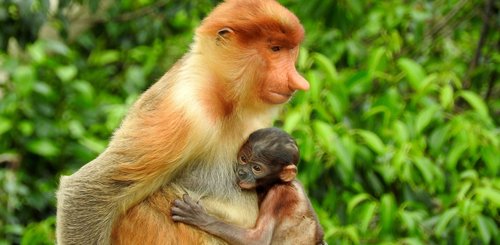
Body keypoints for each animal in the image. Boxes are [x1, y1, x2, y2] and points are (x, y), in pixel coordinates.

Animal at [172, 128, 326, 245]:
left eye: (256, 168)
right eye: (243, 159)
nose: (241, 172)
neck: (278, 182)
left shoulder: (279, 194)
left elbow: (258, 240)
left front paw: (200, 217)